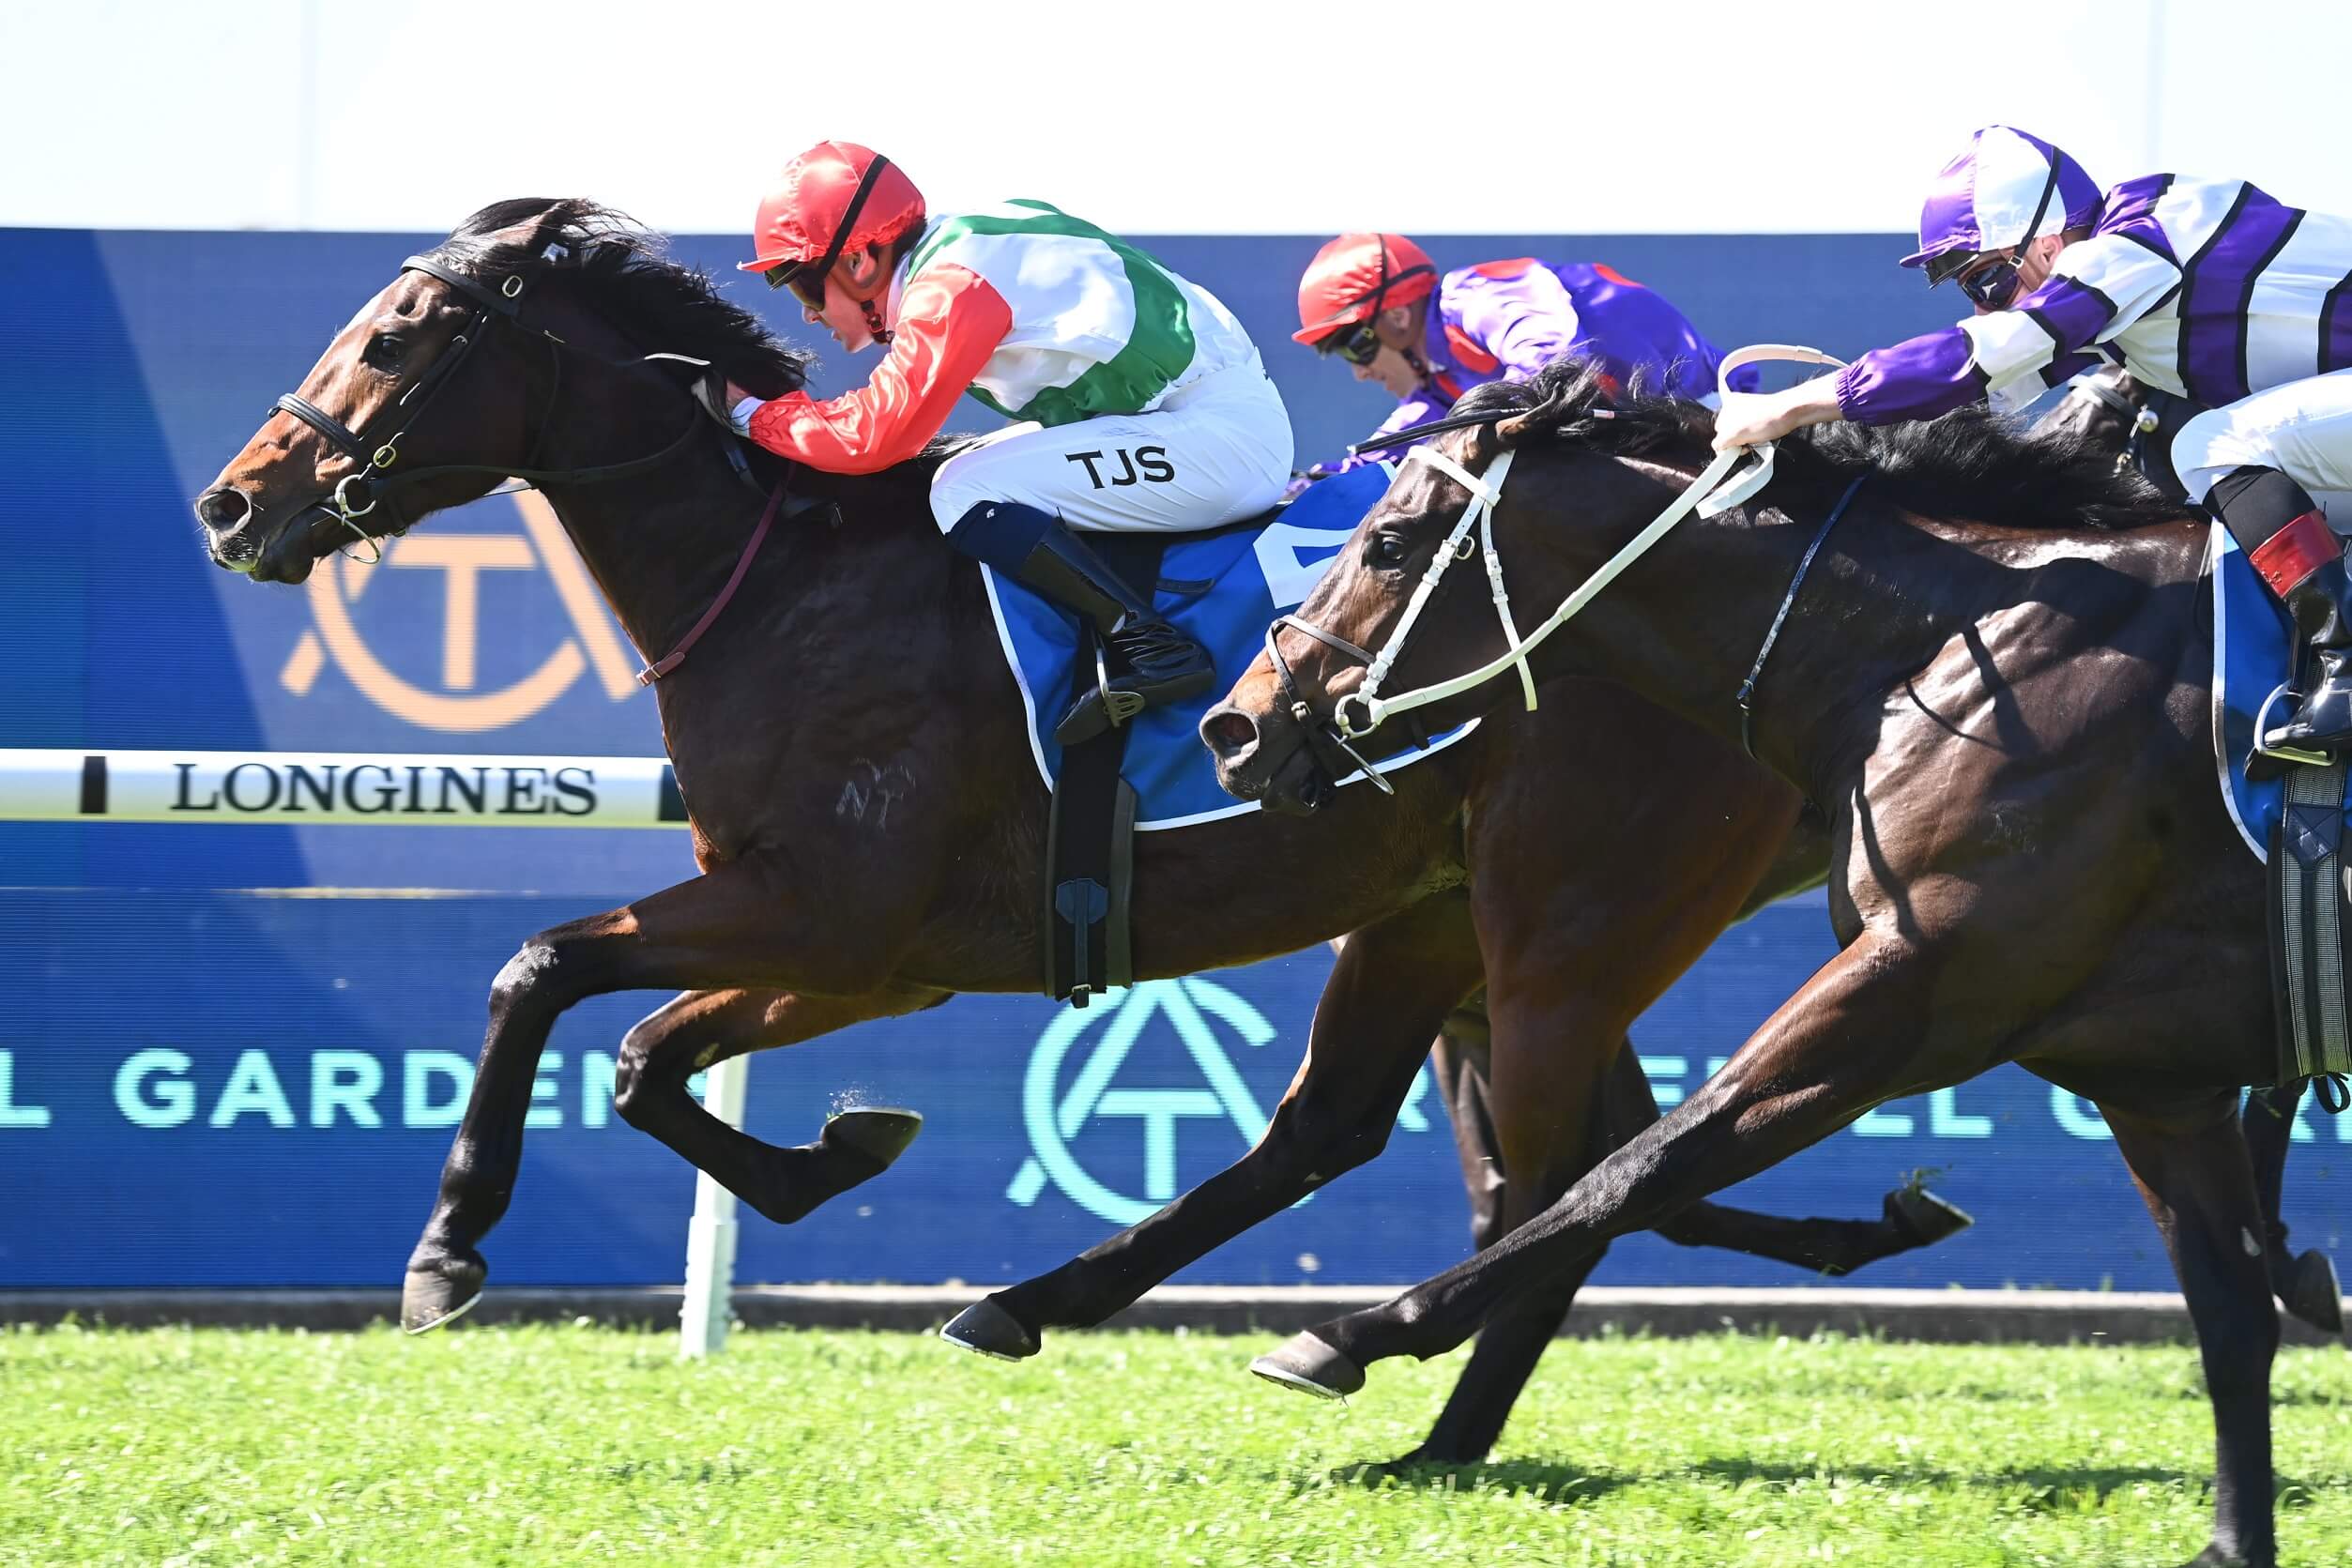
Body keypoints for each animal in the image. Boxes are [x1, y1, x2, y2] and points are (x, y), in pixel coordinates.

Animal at [187, 199, 1962, 1469]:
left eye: (397, 333)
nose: (231, 503)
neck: (787, 580)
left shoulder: (830, 911)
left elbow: (542, 970)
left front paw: (448, 1248)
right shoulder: (870, 954)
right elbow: (642, 1058)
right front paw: (841, 1149)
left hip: (1566, 920)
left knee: (1566, 1167)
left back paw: (1425, 1414)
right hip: (1440, 906)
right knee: (1419, 1138)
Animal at [1208, 358, 2317, 1565]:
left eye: (1389, 541)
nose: (1238, 727)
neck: (1937, 647)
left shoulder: (1918, 985)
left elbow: (1632, 1169)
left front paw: (1348, 1335)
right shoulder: (2153, 1079)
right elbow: (2227, 1315)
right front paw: (2233, 1541)